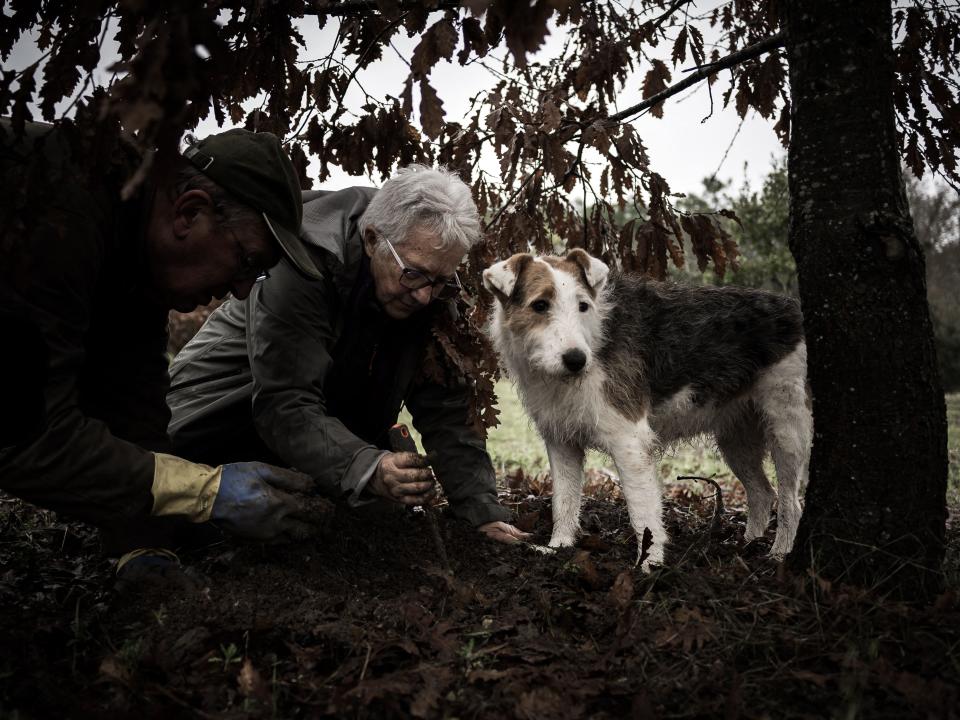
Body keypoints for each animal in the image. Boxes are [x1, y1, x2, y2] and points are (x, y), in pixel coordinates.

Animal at [488, 249, 808, 568]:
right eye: (540, 305)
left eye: (583, 305)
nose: (577, 360)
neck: (596, 335)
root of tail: (796, 308)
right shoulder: (562, 443)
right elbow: (564, 503)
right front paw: (559, 547)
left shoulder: (629, 443)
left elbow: (643, 514)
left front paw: (649, 565)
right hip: (737, 440)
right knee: (762, 494)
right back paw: (749, 545)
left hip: (787, 432)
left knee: (791, 502)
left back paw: (778, 553)